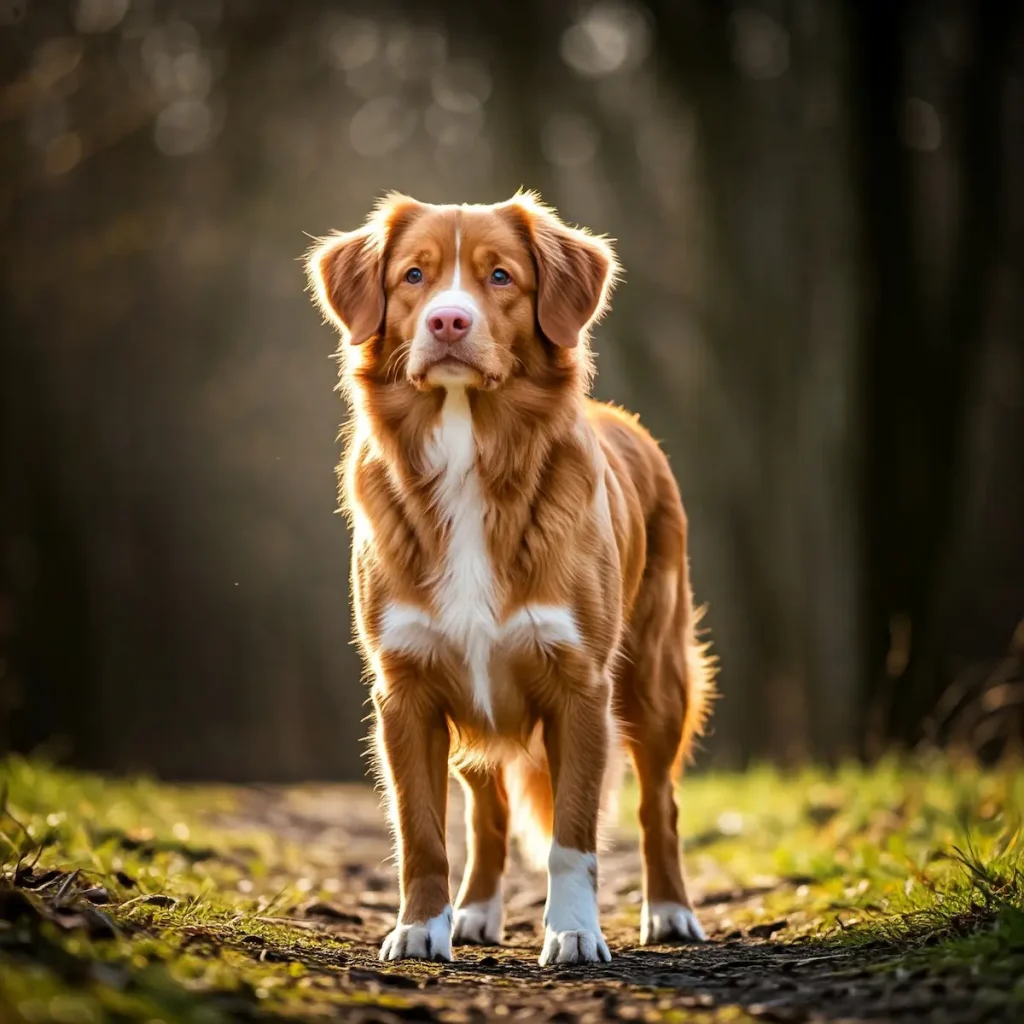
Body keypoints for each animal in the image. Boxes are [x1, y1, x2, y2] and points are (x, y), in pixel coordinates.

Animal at [307, 193, 716, 966]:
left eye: (500, 276)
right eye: (413, 276)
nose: (448, 321)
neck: (470, 451)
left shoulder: (581, 686)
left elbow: (573, 839)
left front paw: (575, 932)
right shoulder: (406, 690)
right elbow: (422, 830)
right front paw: (421, 927)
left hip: (655, 678)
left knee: (660, 803)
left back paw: (671, 910)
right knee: (486, 811)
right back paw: (474, 912)